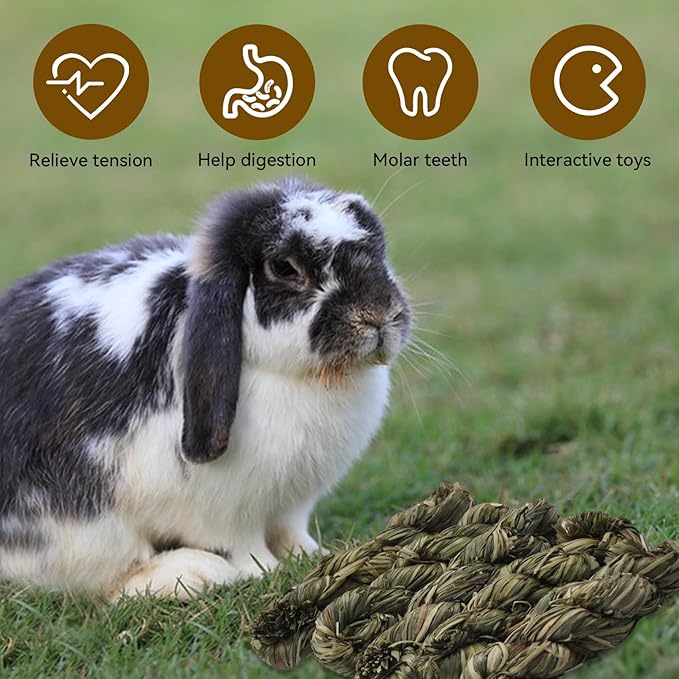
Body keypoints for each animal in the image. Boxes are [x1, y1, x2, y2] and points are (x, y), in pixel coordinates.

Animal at [0, 177, 411, 599]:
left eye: (377, 249)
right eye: (284, 267)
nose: (378, 315)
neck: (303, 378)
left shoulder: (291, 504)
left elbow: (292, 533)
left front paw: (314, 556)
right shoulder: (223, 513)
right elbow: (241, 547)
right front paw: (264, 572)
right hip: (85, 530)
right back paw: (193, 573)